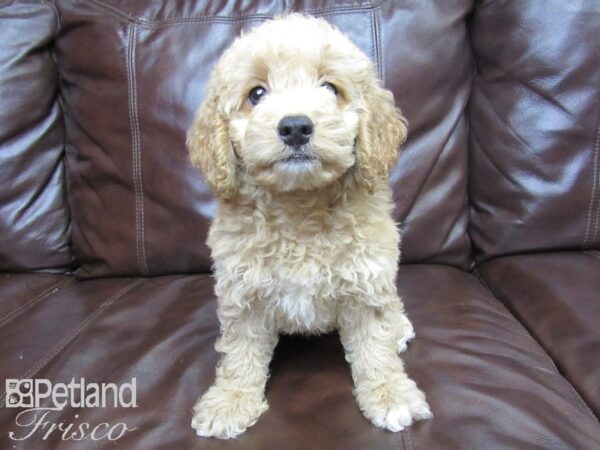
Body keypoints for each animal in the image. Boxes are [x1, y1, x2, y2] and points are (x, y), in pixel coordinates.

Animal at [188, 13, 432, 440]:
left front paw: (390, 393)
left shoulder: (367, 282)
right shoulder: (243, 293)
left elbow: (375, 345)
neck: (300, 206)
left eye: (330, 89)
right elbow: (240, 352)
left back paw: (400, 326)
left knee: (391, 307)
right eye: (256, 94)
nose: (296, 127)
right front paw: (231, 400)